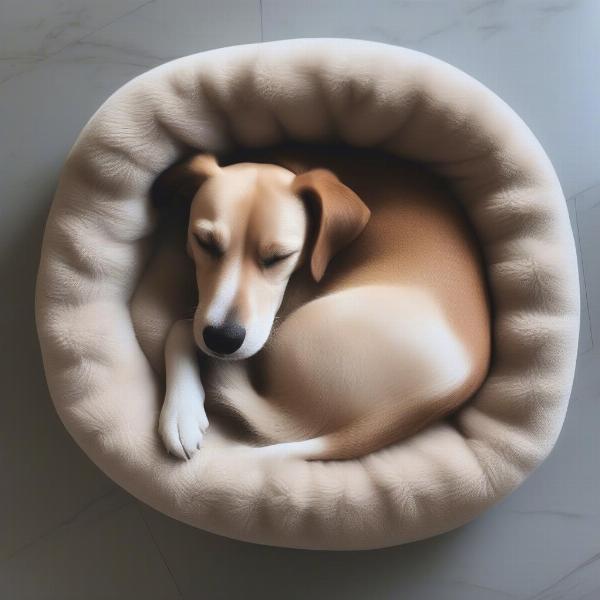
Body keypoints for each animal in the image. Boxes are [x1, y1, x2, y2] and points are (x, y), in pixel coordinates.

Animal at [150, 144, 492, 460]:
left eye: (280, 257)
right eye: (204, 242)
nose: (223, 340)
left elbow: (179, 328)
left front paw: (181, 413)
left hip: (290, 335)